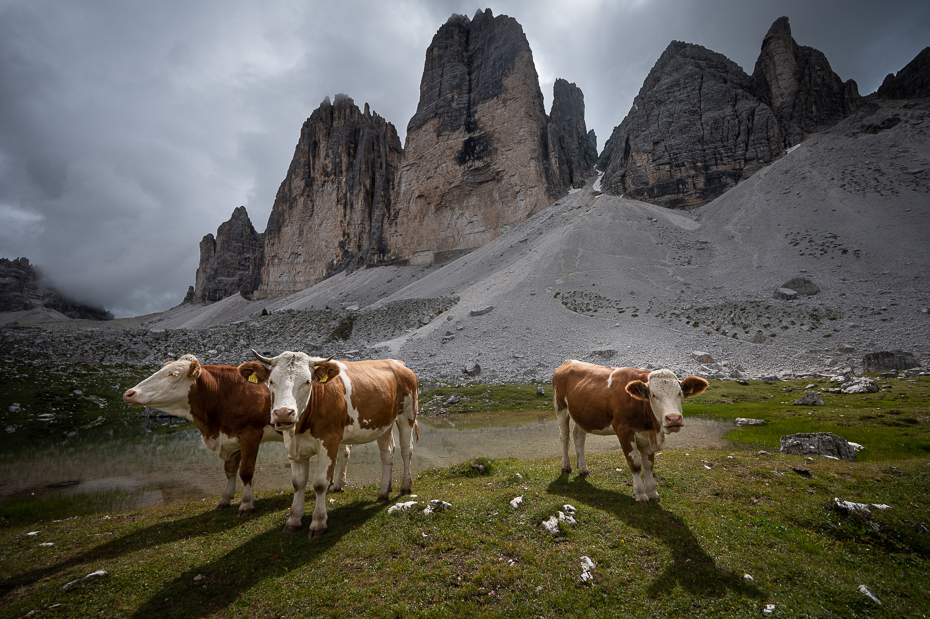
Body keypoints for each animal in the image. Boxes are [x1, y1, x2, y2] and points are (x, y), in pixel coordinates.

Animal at [121, 356, 280, 516]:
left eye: (173, 374)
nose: (129, 393)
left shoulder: (250, 435)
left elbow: (246, 471)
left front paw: (246, 504)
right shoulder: (230, 440)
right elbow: (230, 471)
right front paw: (225, 500)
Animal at [237, 352, 418, 540]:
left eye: (307, 381)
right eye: (271, 381)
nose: (283, 413)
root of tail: (397, 363)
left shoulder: (329, 442)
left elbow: (319, 483)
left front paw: (318, 523)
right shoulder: (293, 447)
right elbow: (298, 483)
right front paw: (293, 520)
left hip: (407, 415)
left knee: (407, 450)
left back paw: (405, 486)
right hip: (384, 425)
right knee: (387, 453)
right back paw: (384, 491)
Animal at [552, 360, 704, 502]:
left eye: (679, 393)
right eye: (653, 395)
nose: (673, 419)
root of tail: (569, 362)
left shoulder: (647, 436)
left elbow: (649, 465)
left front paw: (652, 493)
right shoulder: (623, 431)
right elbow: (635, 464)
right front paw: (641, 494)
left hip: (582, 415)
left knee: (579, 437)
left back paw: (583, 469)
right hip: (560, 408)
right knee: (564, 437)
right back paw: (566, 466)